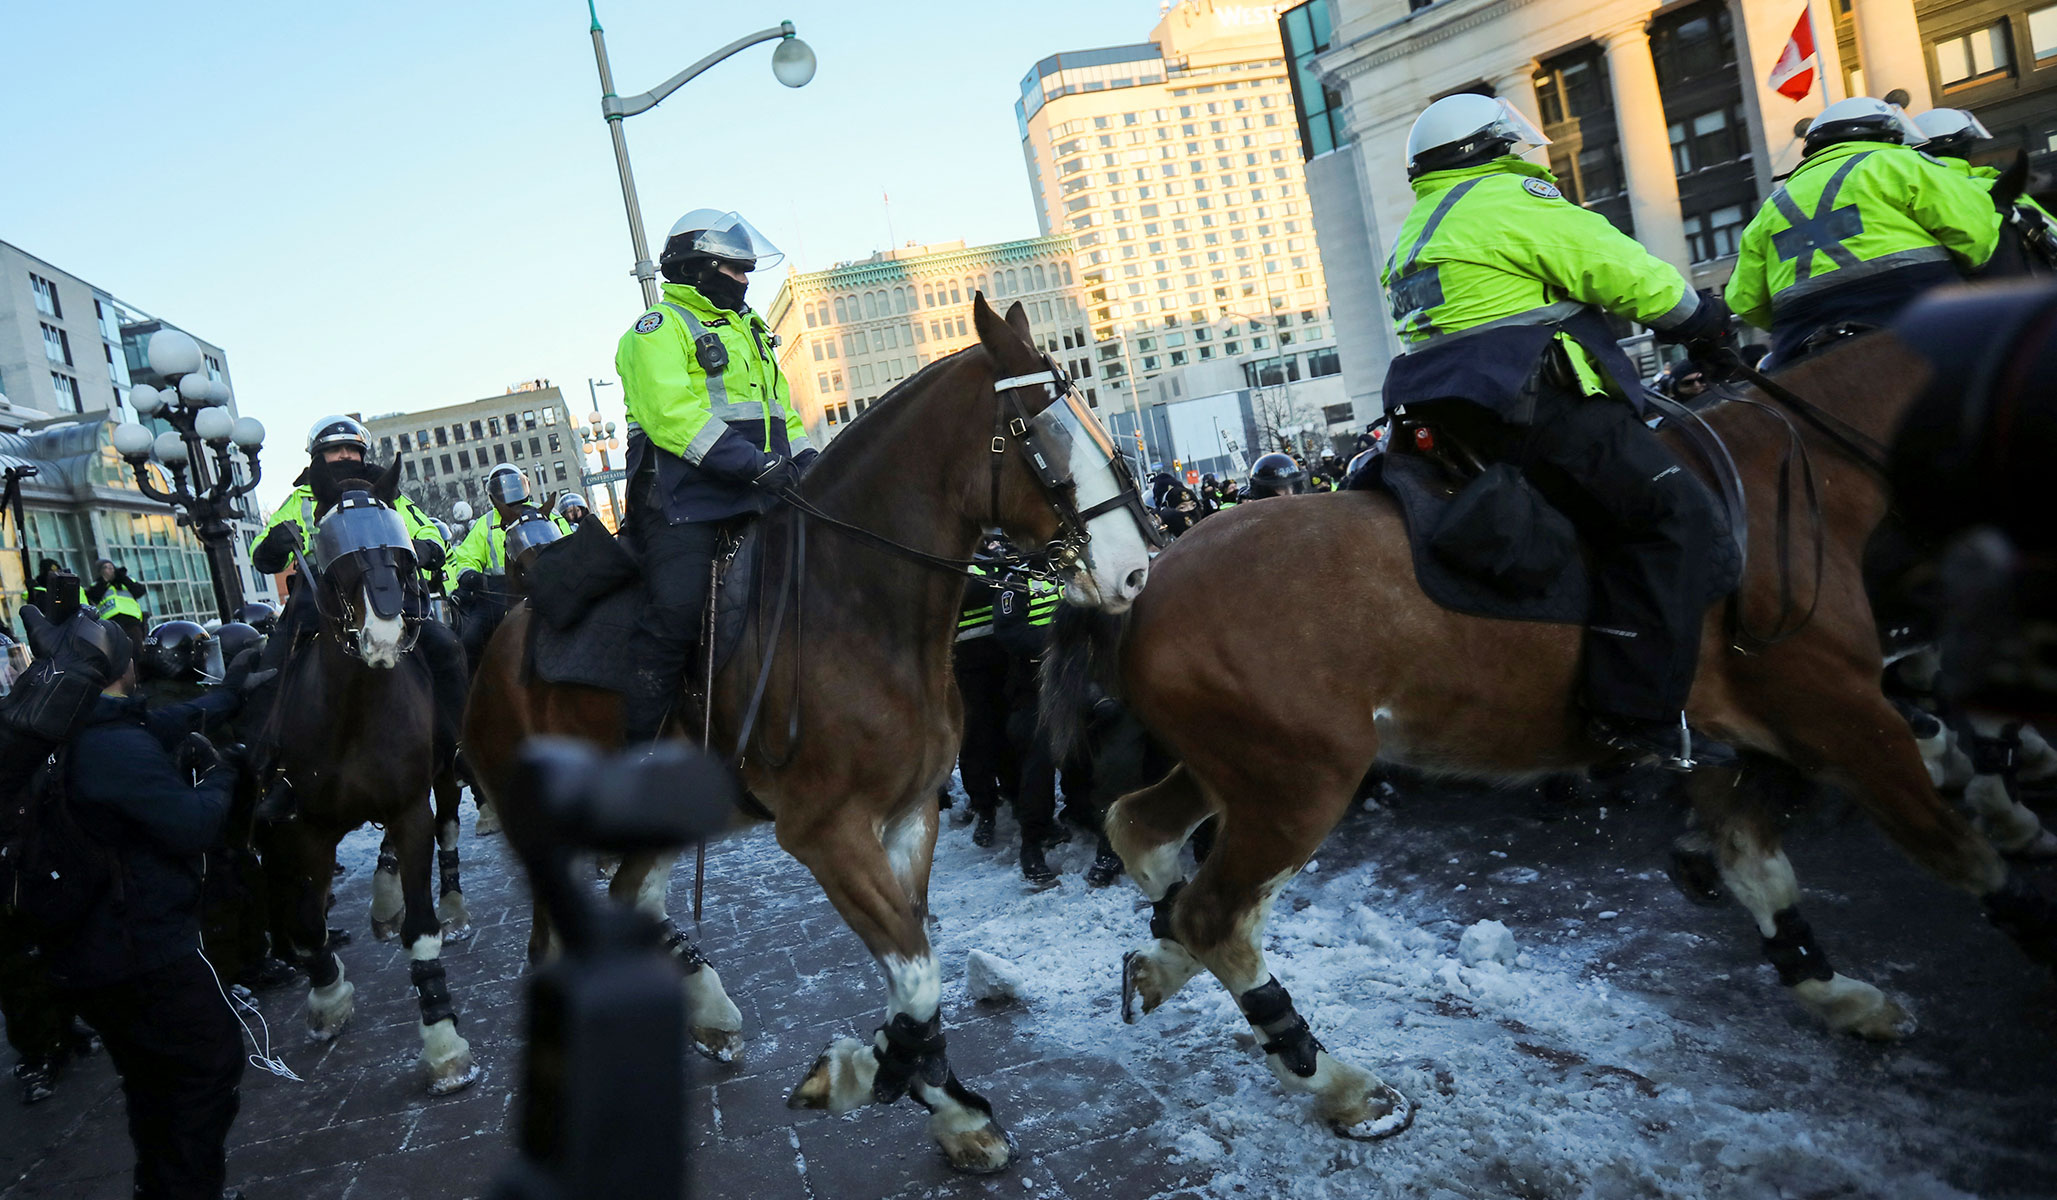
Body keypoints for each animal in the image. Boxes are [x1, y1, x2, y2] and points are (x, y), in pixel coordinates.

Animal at [468, 298, 1168, 1177]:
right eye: (1037, 433)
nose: (1135, 569)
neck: (853, 609)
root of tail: (498, 640)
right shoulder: (825, 832)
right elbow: (916, 971)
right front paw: (868, 1075)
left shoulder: (910, 815)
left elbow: (915, 972)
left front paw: (941, 1102)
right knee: (557, 940)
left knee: (632, 896)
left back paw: (707, 1009)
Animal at [1044, 335, 2057, 1144]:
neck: (1797, 475)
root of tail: (1141, 590)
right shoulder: (1841, 715)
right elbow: (1954, 847)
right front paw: (2020, 899)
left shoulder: (1752, 739)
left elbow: (1756, 861)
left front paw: (1836, 991)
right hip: (1296, 784)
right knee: (1216, 913)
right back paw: (1338, 1083)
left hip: (1239, 772)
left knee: (1143, 835)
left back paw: (1161, 960)